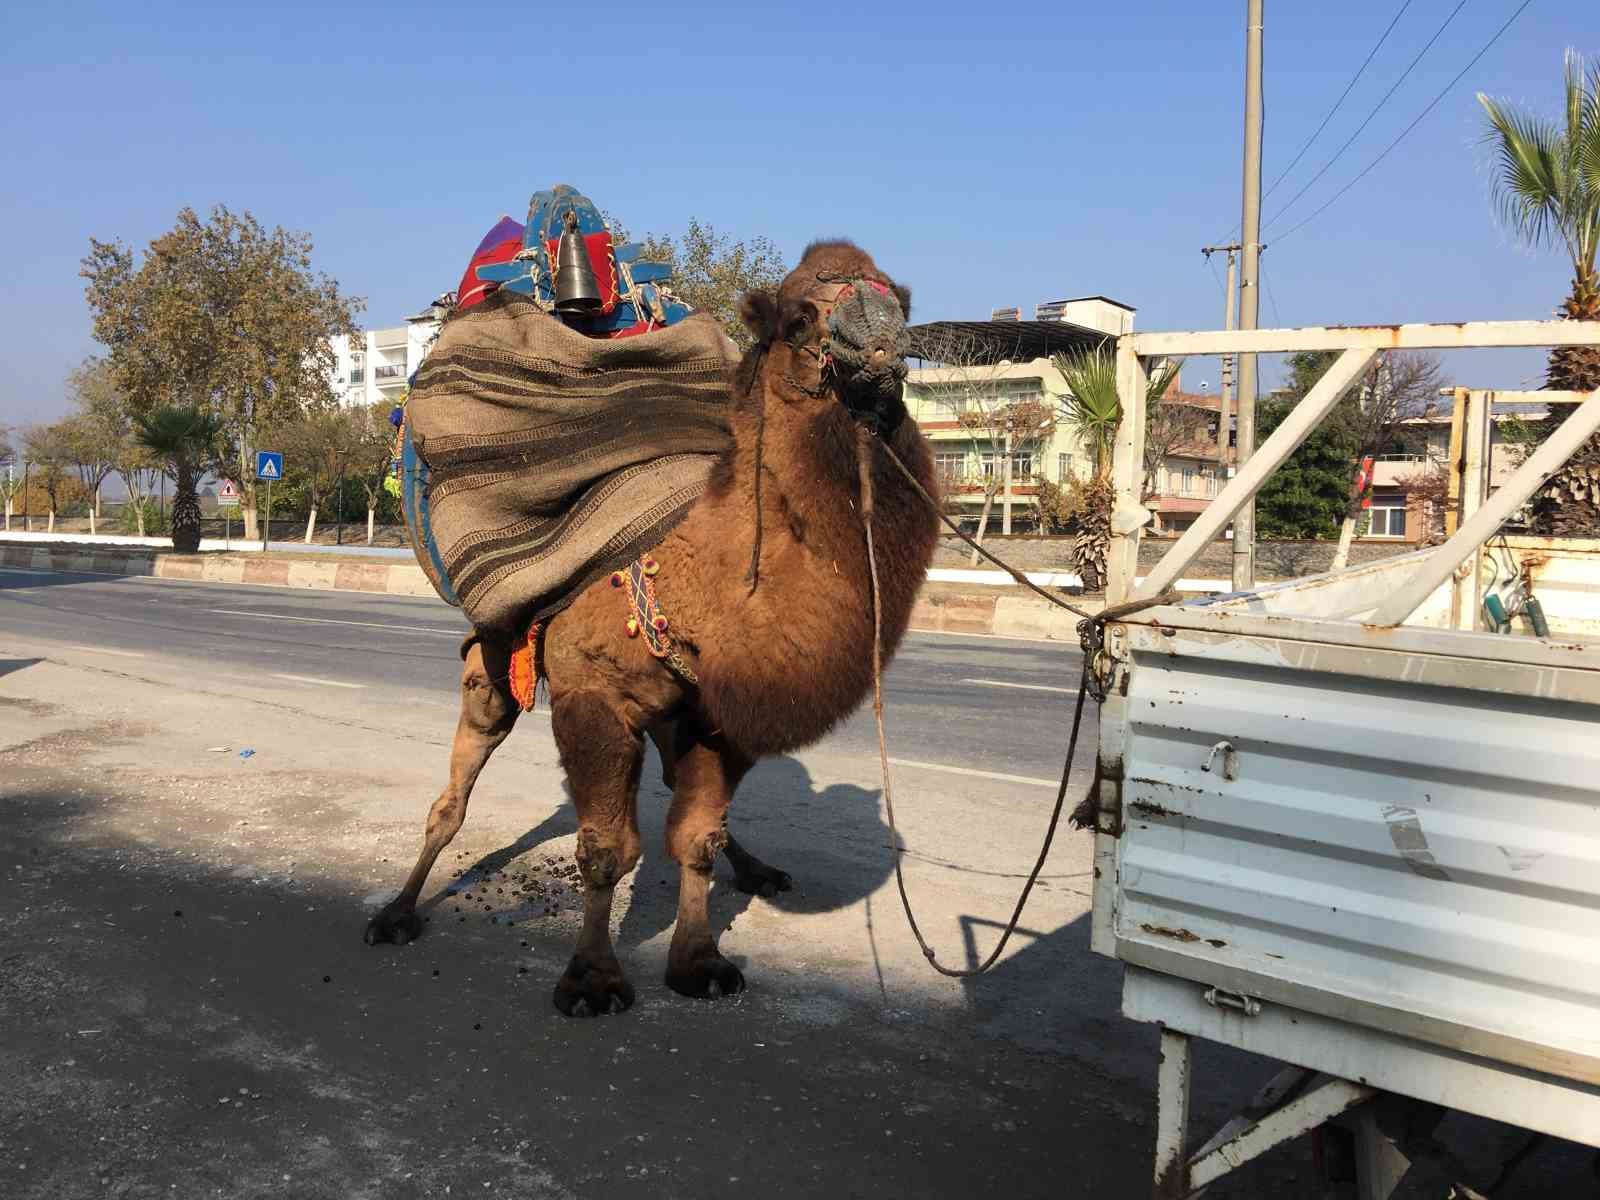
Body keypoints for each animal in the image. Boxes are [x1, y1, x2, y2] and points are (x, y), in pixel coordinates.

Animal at [363, 241, 934, 1017]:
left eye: (899, 300)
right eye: (797, 317)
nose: (881, 336)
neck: (693, 576)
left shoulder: (717, 714)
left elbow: (694, 838)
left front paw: (700, 961)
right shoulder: (593, 698)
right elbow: (607, 848)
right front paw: (592, 979)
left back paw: (758, 869)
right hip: (495, 662)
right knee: (456, 786)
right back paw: (396, 912)